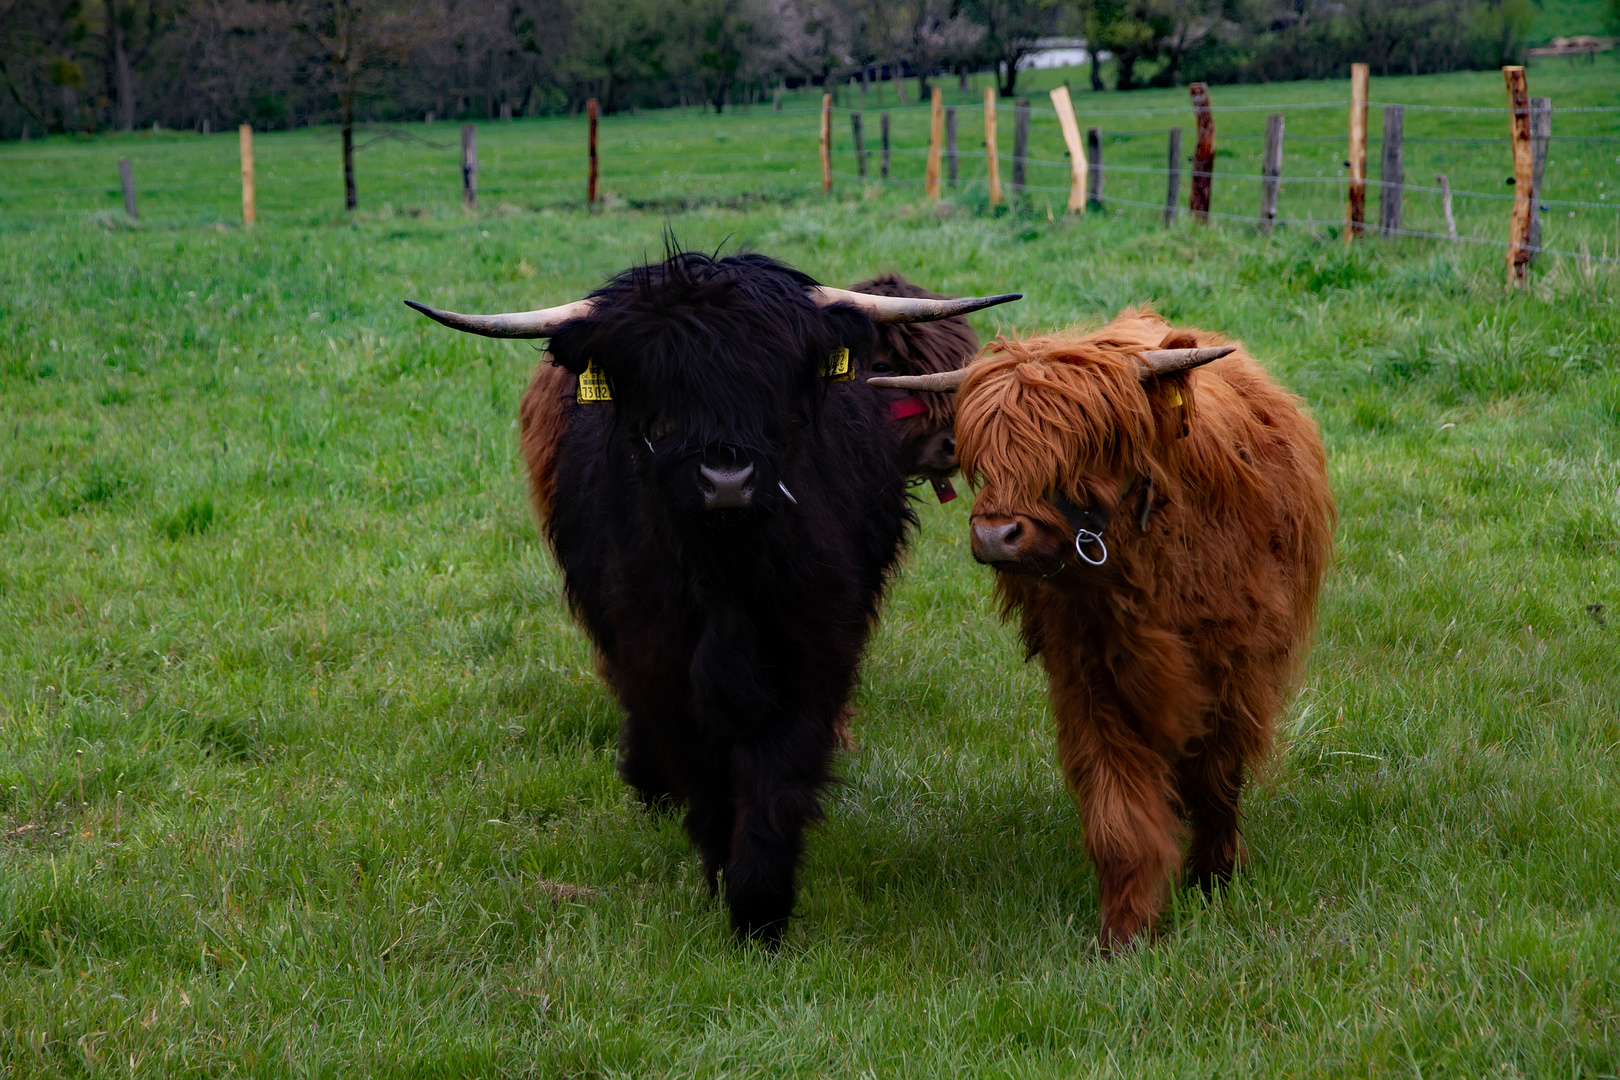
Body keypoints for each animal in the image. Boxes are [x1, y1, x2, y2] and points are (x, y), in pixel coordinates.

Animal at [405, 250, 1010, 939]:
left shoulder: (812, 645)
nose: (727, 477)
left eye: (773, 378)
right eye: (659, 387)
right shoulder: (657, 652)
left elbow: (781, 768)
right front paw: (724, 876)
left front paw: (760, 907)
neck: (723, 566)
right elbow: (703, 769)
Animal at [874, 307, 1328, 952]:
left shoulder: (1235, 665)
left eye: (1078, 448)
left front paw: (1213, 876)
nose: (995, 535)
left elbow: (1217, 775)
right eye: (984, 456)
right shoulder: (1089, 676)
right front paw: (1126, 927)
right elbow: (1118, 810)